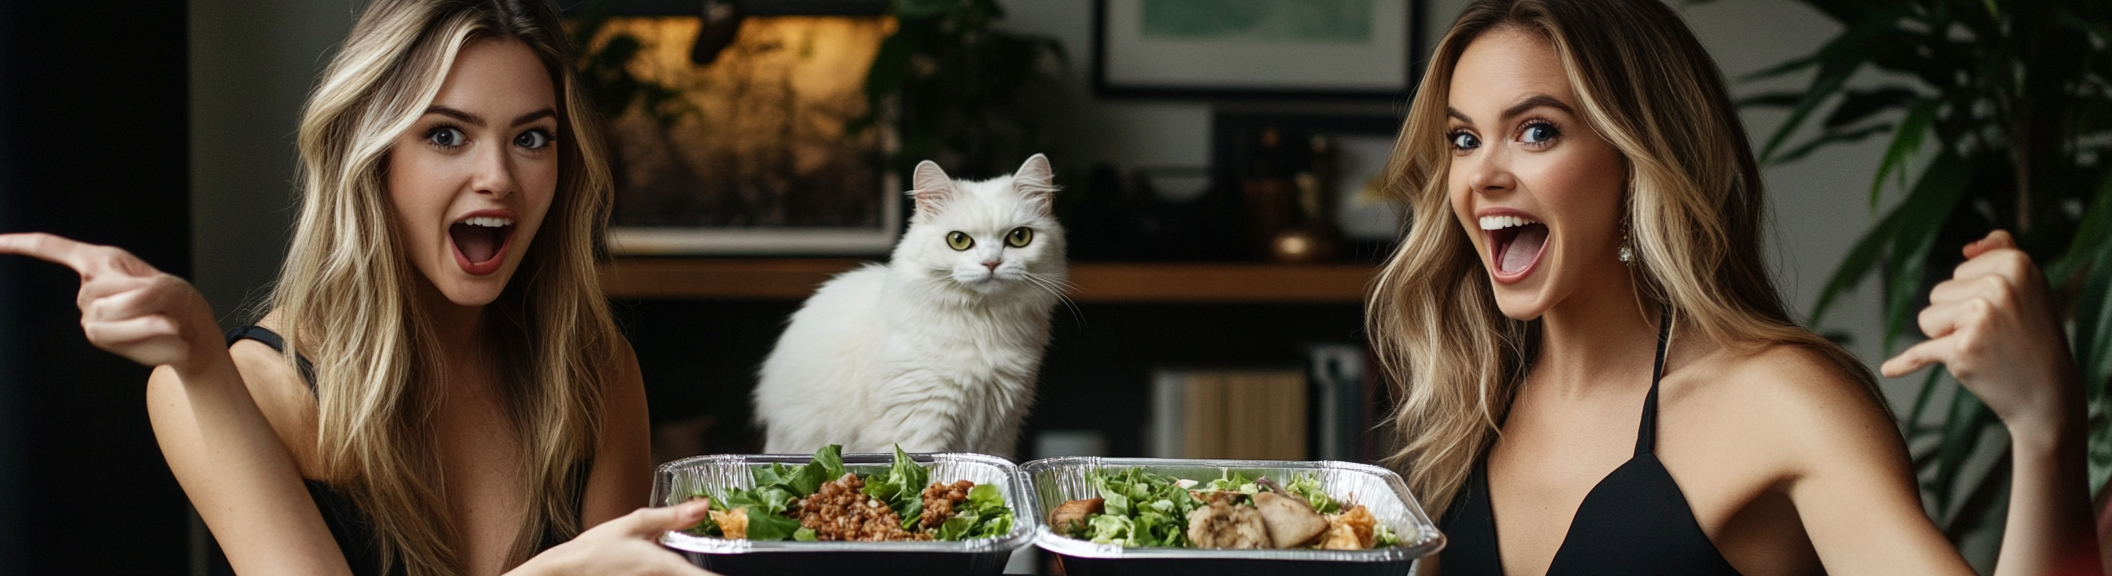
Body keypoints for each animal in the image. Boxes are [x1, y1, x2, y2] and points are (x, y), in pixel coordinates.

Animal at [751, 154, 1064, 457]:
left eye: (1019, 237)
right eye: (959, 240)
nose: (991, 263)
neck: (985, 322)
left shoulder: (1001, 428)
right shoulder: (919, 421)